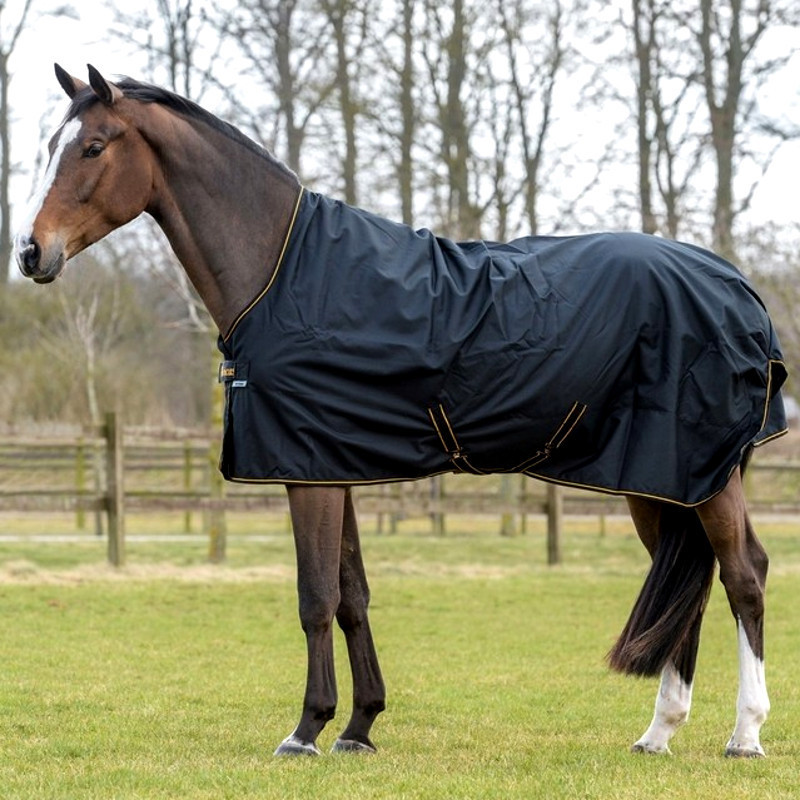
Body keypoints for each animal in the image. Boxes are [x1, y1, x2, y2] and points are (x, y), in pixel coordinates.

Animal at [14, 65, 787, 759]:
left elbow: (315, 597)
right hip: (658, 477)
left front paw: (306, 730)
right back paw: (658, 733)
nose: (30, 252)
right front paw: (360, 727)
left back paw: (745, 736)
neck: (283, 273)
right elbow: (353, 595)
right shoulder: (333, 466)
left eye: (93, 146)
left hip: (704, 476)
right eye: (50, 143)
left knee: (743, 575)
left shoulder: (308, 472)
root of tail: (738, 288)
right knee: (689, 581)